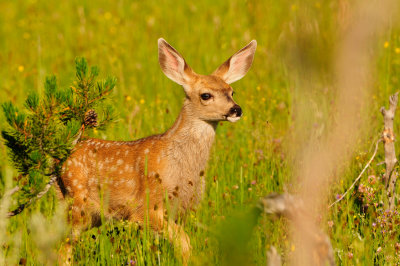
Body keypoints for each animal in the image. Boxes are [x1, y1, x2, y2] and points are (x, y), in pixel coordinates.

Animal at [59, 37, 258, 262]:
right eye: (206, 95)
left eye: (232, 92)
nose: (236, 109)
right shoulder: (147, 206)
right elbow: (183, 241)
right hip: (79, 203)